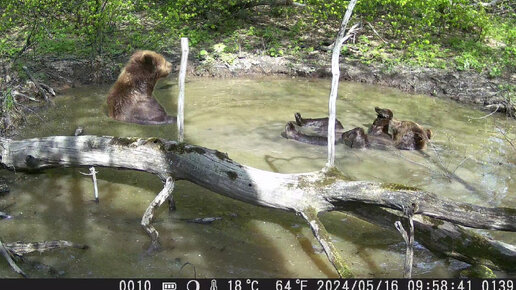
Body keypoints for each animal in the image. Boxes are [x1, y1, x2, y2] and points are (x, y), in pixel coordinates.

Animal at [282, 107, 432, 151]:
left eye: (401, 124)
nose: (396, 122)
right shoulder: (382, 134)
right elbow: (377, 127)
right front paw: (381, 112)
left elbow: (362, 137)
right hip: (334, 126)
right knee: (332, 121)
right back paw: (299, 118)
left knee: (321, 139)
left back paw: (291, 129)